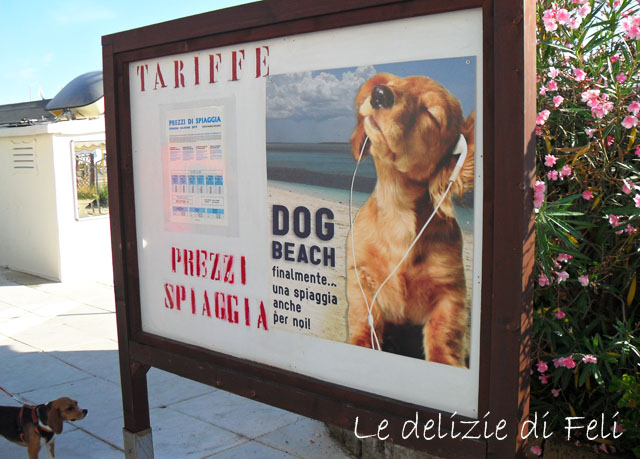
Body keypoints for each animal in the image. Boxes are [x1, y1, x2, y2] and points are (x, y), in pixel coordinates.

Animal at [344, 73, 476, 366]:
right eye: (397, 84)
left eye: (431, 113)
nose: (380, 94)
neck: (398, 211)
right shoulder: (358, 273)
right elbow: (364, 315)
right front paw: (359, 343)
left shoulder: (451, 291)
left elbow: (443, 330)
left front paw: (444, 361)